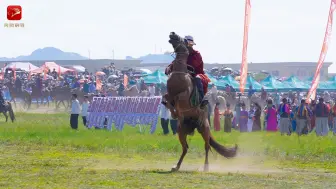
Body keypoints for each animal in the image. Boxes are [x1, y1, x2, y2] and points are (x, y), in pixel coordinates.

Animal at [162, 31, 236, 172]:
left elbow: (179, 98)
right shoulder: (169, 94)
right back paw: (176, 166)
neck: (179, 75)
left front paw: (175, 111)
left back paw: (206, 167)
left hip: (204, 129)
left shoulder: (184, 96)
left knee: (207, 147)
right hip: (181, 131)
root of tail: (194, 126)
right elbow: (165, 99)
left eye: (183, 39)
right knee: (185, 148)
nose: (172, 33)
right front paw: (173, 112)